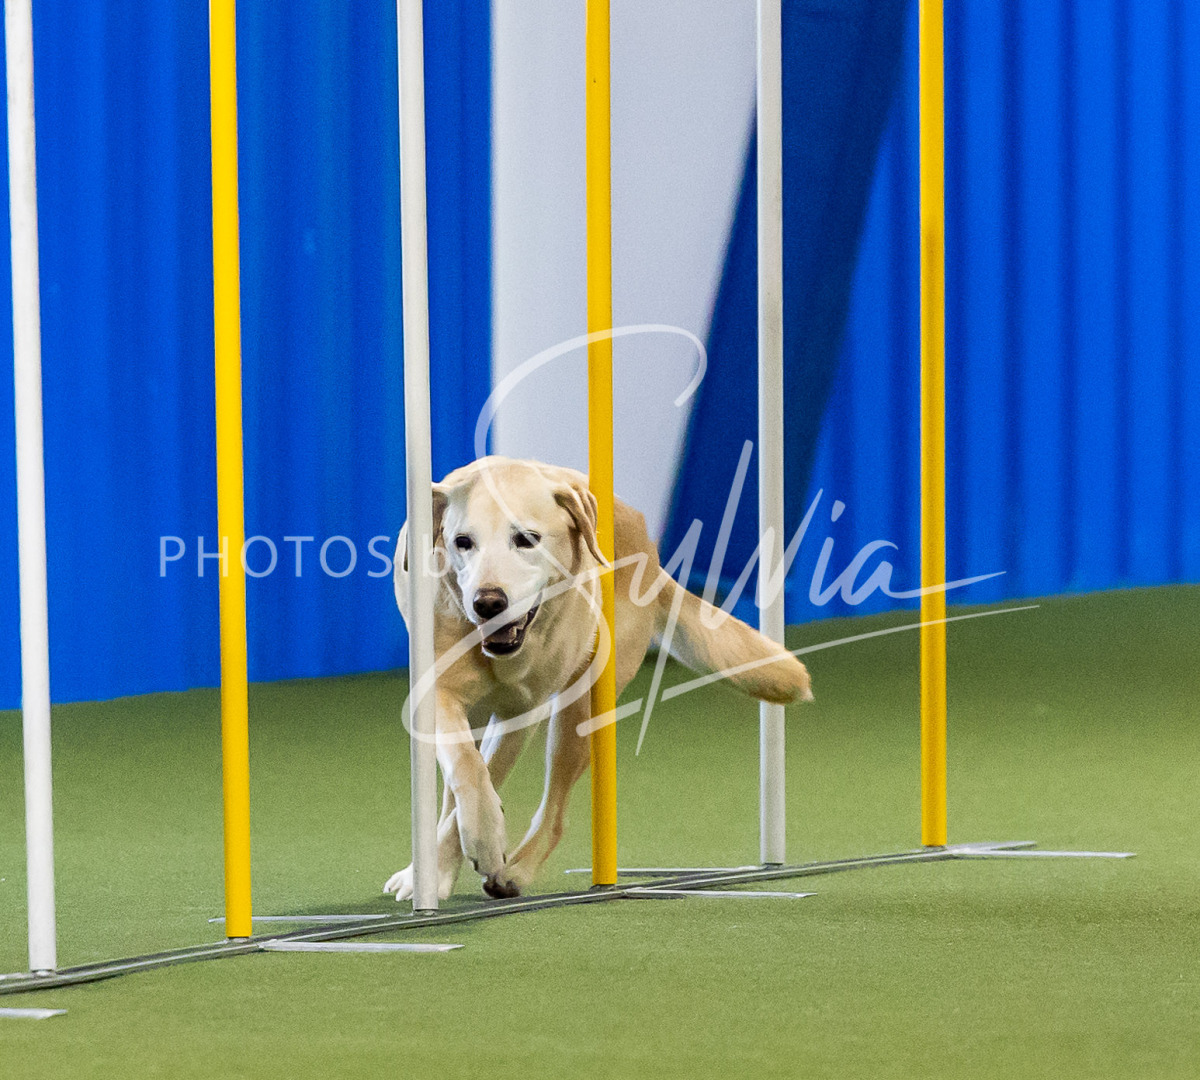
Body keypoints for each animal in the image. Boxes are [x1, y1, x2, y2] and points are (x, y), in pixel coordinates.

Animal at [384, 456, 811, 901]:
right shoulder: (438, 695)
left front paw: (482, 846)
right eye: (462, 542)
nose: (488, 602)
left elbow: (483, 776)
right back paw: (426, 871)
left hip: (578, 713)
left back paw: (515, 871)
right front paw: (455, 857)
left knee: (555, 810)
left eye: (526, 539)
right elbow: (466, 771)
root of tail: (648, 546)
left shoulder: (520, 710)